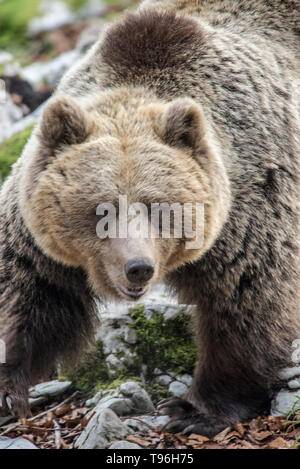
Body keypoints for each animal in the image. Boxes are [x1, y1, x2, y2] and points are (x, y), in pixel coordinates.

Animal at [0, 0, 300, 436]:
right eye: (100, 209)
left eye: (159, 207)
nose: (137, 267)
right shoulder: (37, 233)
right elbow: (30, 291)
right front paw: (9, 387)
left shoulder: (252, 205)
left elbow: (248, 300)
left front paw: (194, 411)